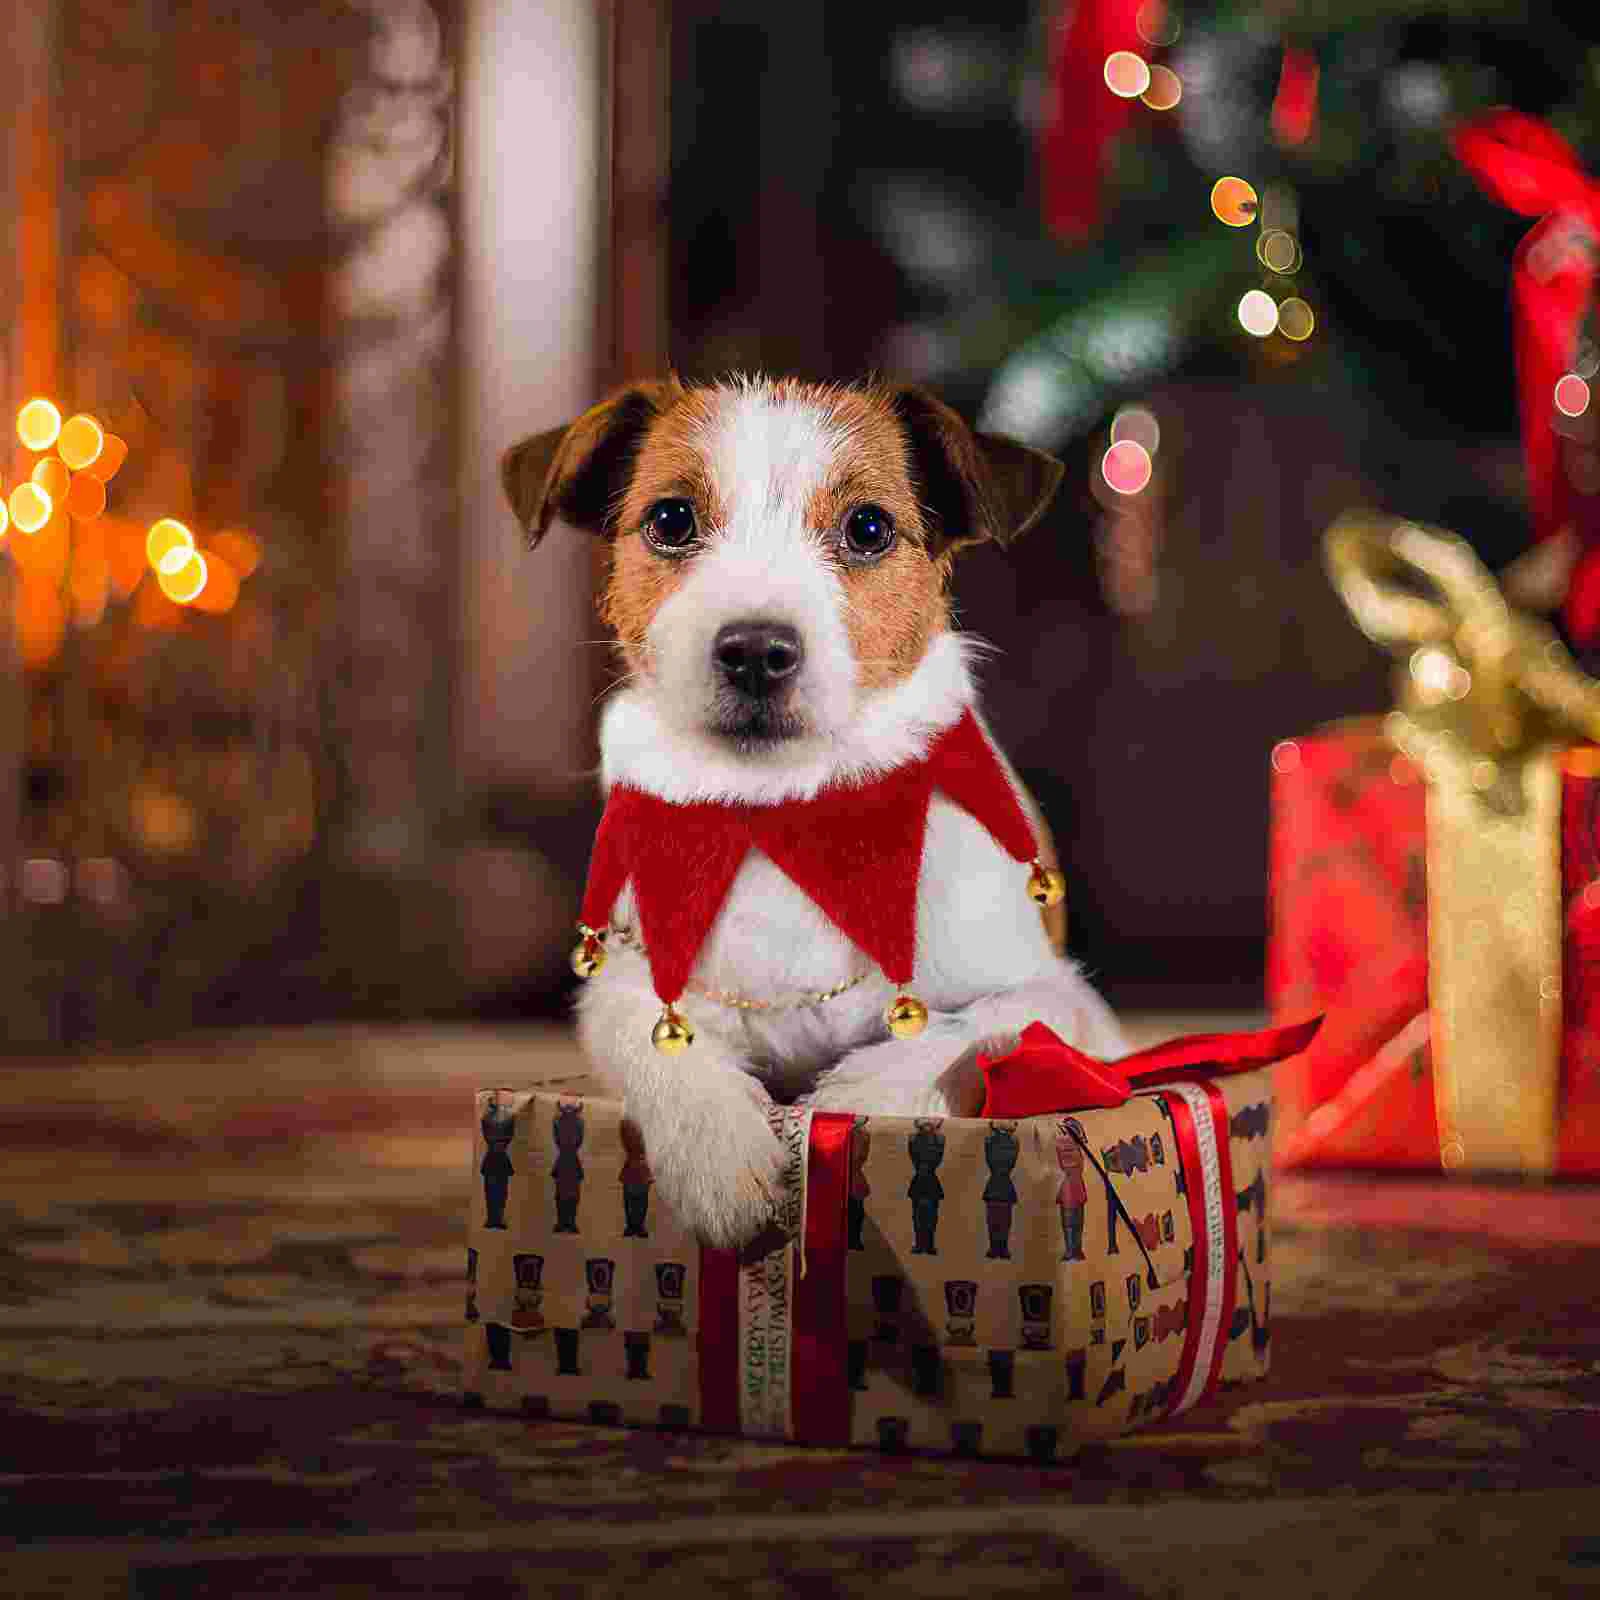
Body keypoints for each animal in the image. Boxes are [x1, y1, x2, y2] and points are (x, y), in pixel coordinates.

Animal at [502, 374, 1126, 1248]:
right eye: (672, 520)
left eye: (867, 528)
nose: (756, 651)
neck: (794, 818)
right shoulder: (630, 988)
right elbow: (656, 1042)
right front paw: (718, 1149)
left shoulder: (1070, 1004)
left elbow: (977, 1028)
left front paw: (860, 1095)